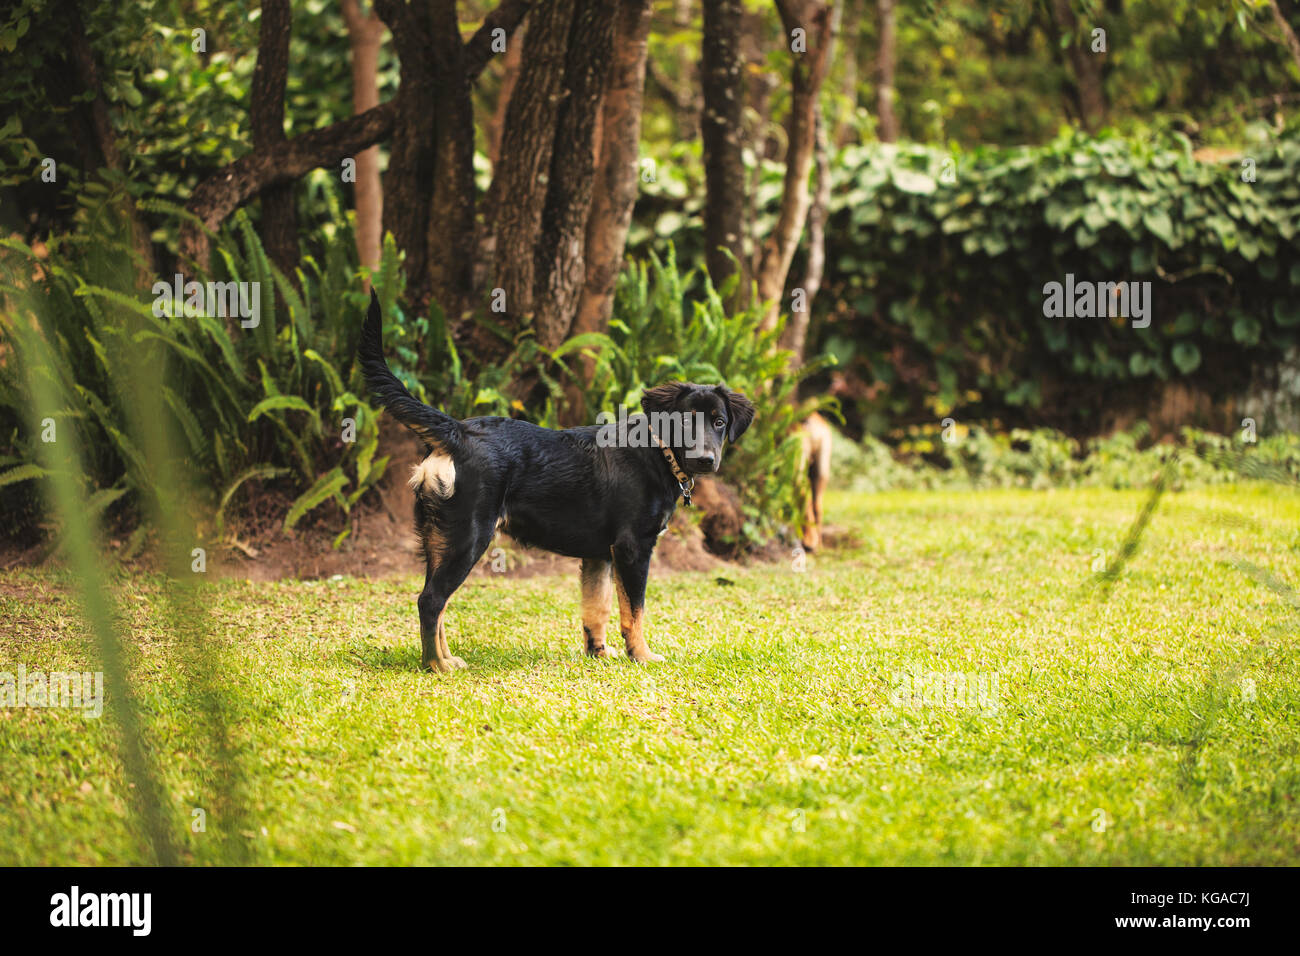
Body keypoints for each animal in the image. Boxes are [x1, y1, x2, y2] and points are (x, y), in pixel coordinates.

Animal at [361, 293, 759, 671]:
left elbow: (596, 608)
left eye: (719, 422)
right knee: (430, 600)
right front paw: (642, 656)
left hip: (439, 536)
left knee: (436, 600)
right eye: (686, 421)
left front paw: (598, 654)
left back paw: (444, 658)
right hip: (469, 535)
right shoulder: (633, 547)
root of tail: (457, 432)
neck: (657, 451)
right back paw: (436, 665)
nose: (706, 460)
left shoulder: (600, 554)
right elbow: (634, 611)